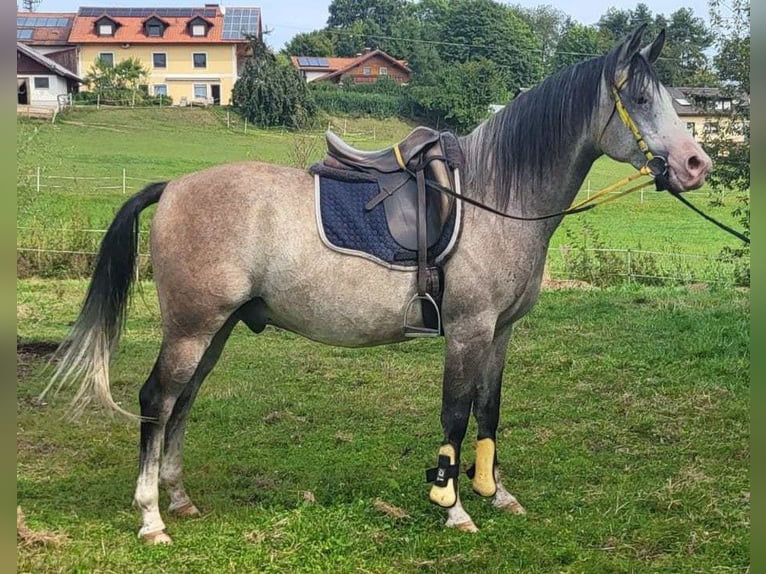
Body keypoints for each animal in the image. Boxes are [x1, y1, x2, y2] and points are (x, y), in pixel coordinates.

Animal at [43, 24, 712, 544]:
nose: (696, 164)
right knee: (157, 400)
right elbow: (455, 414)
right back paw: (151, 517)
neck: (496, 197)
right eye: (641, 97)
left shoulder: (499, 333)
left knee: (183, 402)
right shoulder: (467, 331)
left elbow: (489, 409)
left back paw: (178, 499)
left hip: (217, 329)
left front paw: (495, 493)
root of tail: (174, 187)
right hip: (192, 327)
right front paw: (453, 506)